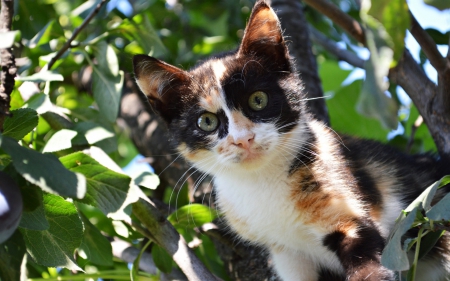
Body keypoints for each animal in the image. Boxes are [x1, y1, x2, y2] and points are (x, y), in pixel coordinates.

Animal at [132, 1, 450, 278]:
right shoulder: (286, 252)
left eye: (258, 99)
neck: (263, 182)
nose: (243, 139)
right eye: (207, 122)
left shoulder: (347, 206)